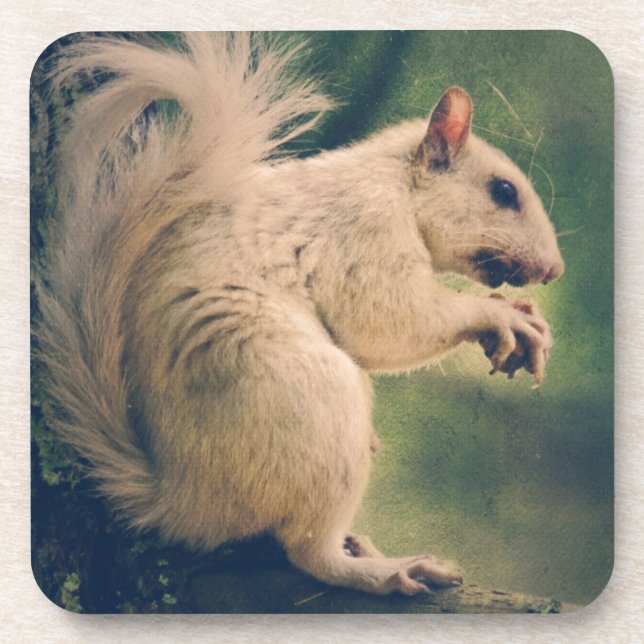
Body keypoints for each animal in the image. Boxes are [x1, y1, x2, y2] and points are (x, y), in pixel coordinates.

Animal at [34, 32, 564, 596]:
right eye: (503, 191)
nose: (554, 270)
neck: (394, 185)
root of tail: (182, 499)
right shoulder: (364, 231)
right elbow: (388, 321)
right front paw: (502, 317)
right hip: (312, 401)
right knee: (310, 553)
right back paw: (386, 569)